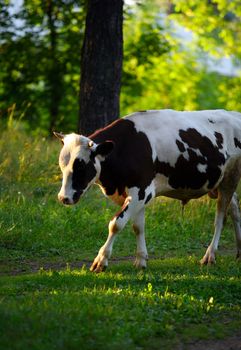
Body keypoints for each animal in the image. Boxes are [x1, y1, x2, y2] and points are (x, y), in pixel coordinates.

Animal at [54, 108, 241, 270]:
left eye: (81, 166)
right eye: (62, 165)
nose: (63, 198)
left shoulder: (141, 191)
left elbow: (116, 223)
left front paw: (101, 260)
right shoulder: (139, 195)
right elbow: (138, 226)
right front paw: (141, 260)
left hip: (230, 179)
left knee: (220, 217)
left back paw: (210, 255)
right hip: (220, 183)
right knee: (234, 211)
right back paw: (238, 252)